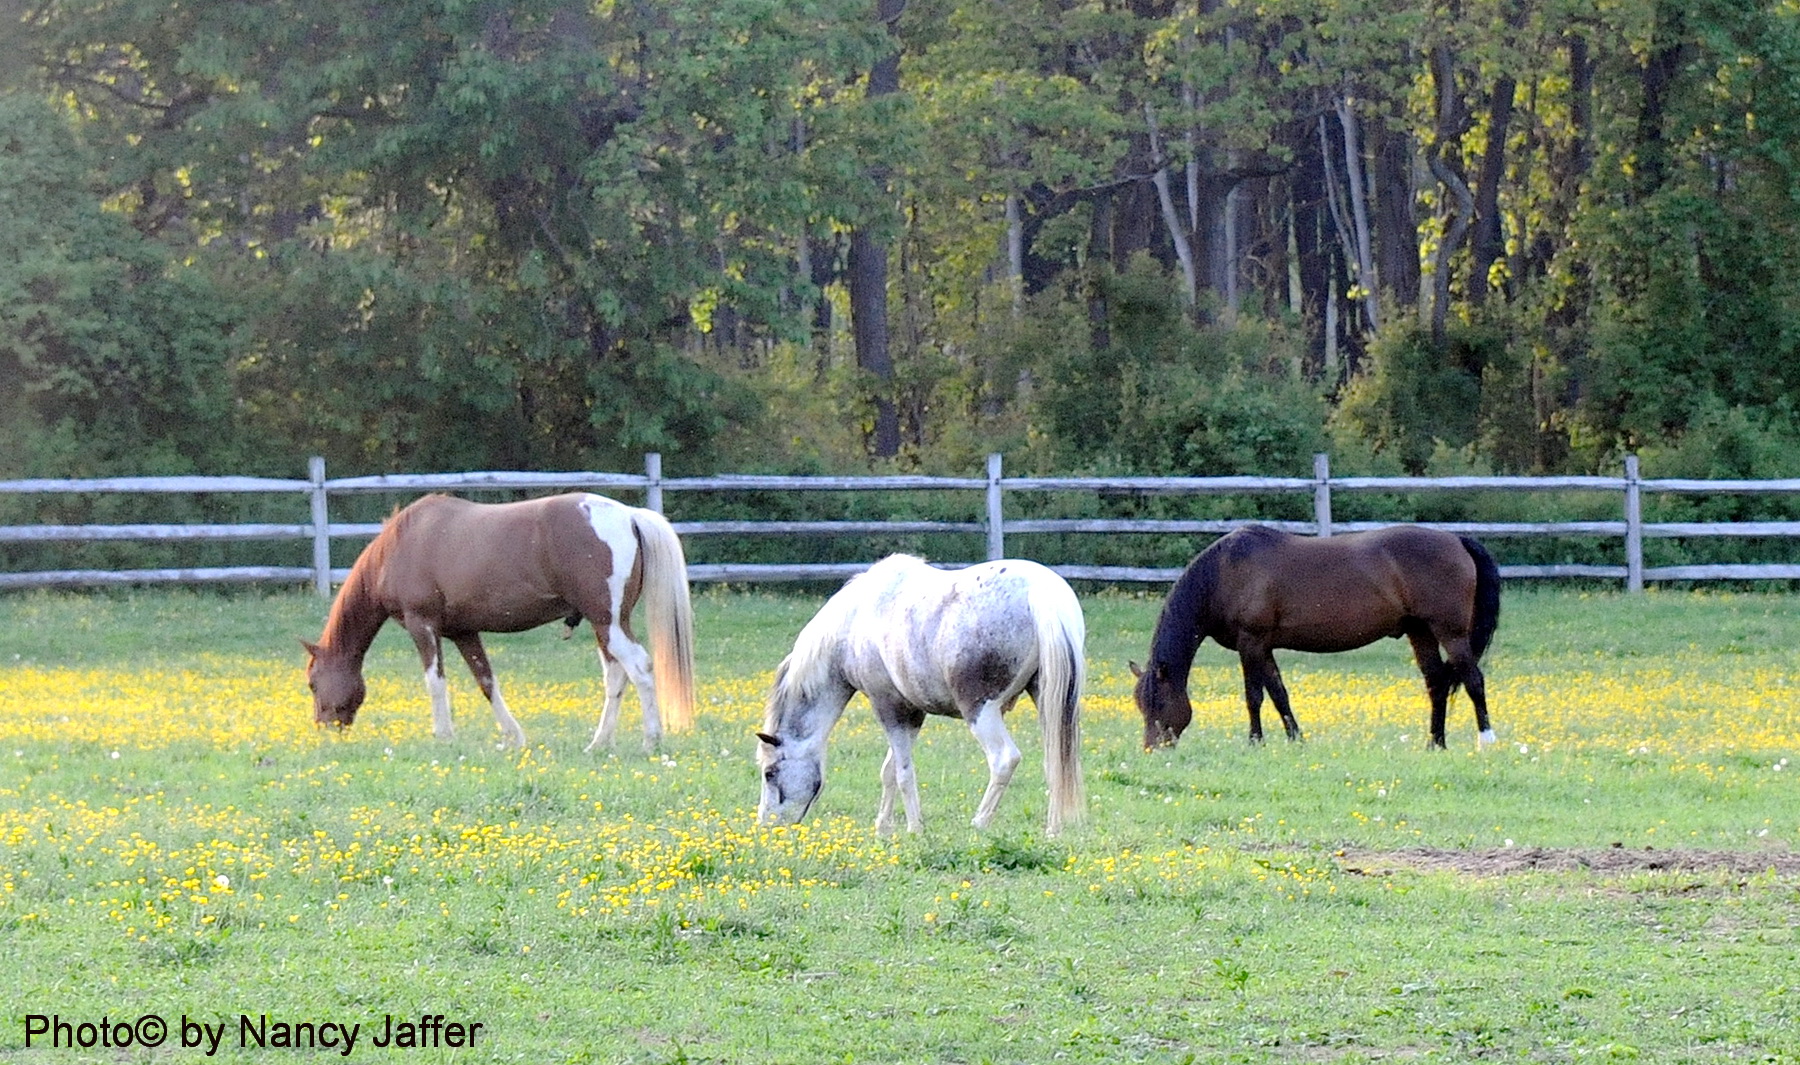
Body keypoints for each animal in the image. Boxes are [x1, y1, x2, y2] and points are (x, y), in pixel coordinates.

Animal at [302, 492, 694, 748]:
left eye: (312, 684)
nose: (324, 728)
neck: (398, 547)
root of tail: (629, 515)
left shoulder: (422, 625)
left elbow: (435, 682)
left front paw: (443, 736)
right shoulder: (463, 632)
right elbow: (486, 681)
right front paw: (513, 736)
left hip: (608, 623)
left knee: (639, 668)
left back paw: (651, 740)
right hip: (605, 626)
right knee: (615, 676)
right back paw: (599, 743)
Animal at [756, 554, 1087, 834]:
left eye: (770, 773)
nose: (767, 825)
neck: (855, 622)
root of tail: (1042, 593)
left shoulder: (889, 707)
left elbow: (903, 773)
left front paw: (914, 828)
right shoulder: (912, 713)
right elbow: (889, 770)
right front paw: (883, 827)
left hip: (981, 711)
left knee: (1004, 760)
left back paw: (979, 823)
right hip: (1046, 703)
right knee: (1055, 762)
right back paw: (1052, 831)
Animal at [1130, 525, 1497, 748]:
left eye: (1159, 702)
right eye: (1140, 705)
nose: (1152, 749)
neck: (1225, 573)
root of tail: (1456, 540)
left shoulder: (1251, 643)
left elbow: (1253, 696)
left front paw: (1255, 741)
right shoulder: (1263, 647)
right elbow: (1278, 693)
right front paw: (1296, 739)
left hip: (1450, 632)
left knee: (1473, 680)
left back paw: (1486, 740)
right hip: (1420, 631)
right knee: (1436, 683)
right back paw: (1435, 743)